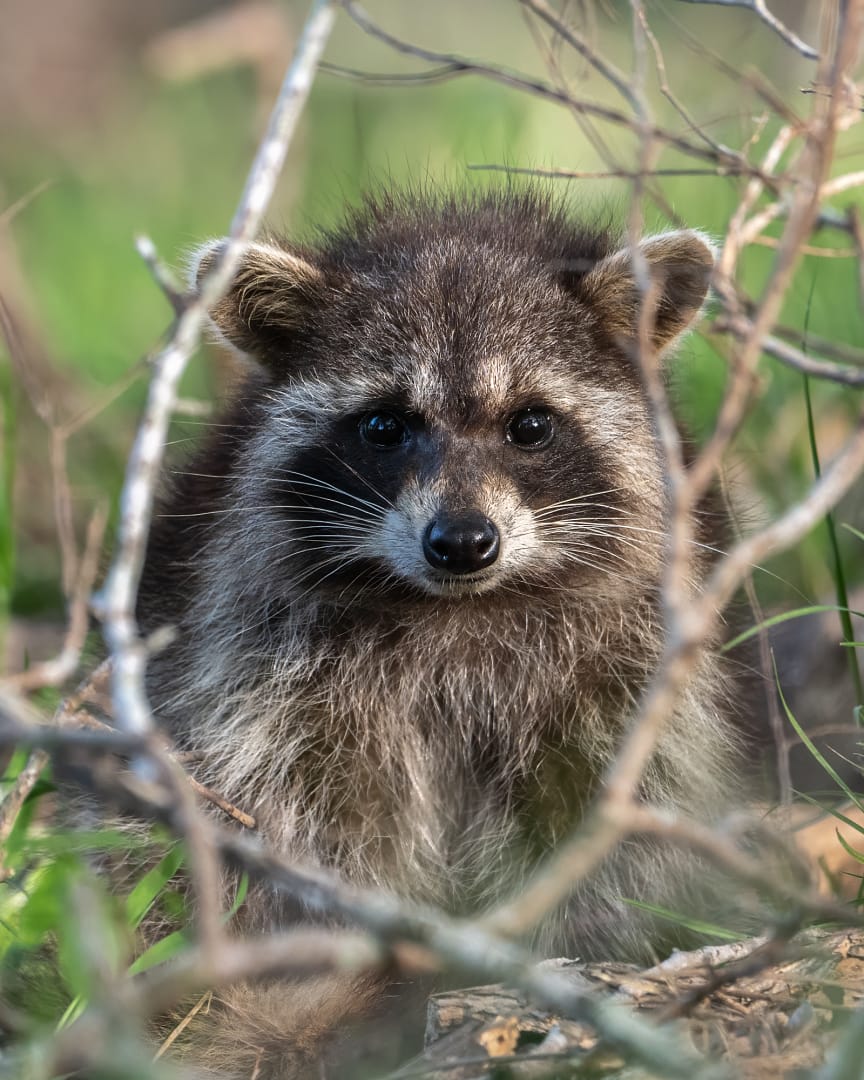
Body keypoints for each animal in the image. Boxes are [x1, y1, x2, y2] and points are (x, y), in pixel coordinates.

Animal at [138, 189, 733, 1077]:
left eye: (530, 425)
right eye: (385, 425)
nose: (461, 542)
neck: (459, 609)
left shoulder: (623, 669)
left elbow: (624, 814)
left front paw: (587, 939)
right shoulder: (264, 670)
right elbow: (289, 817)